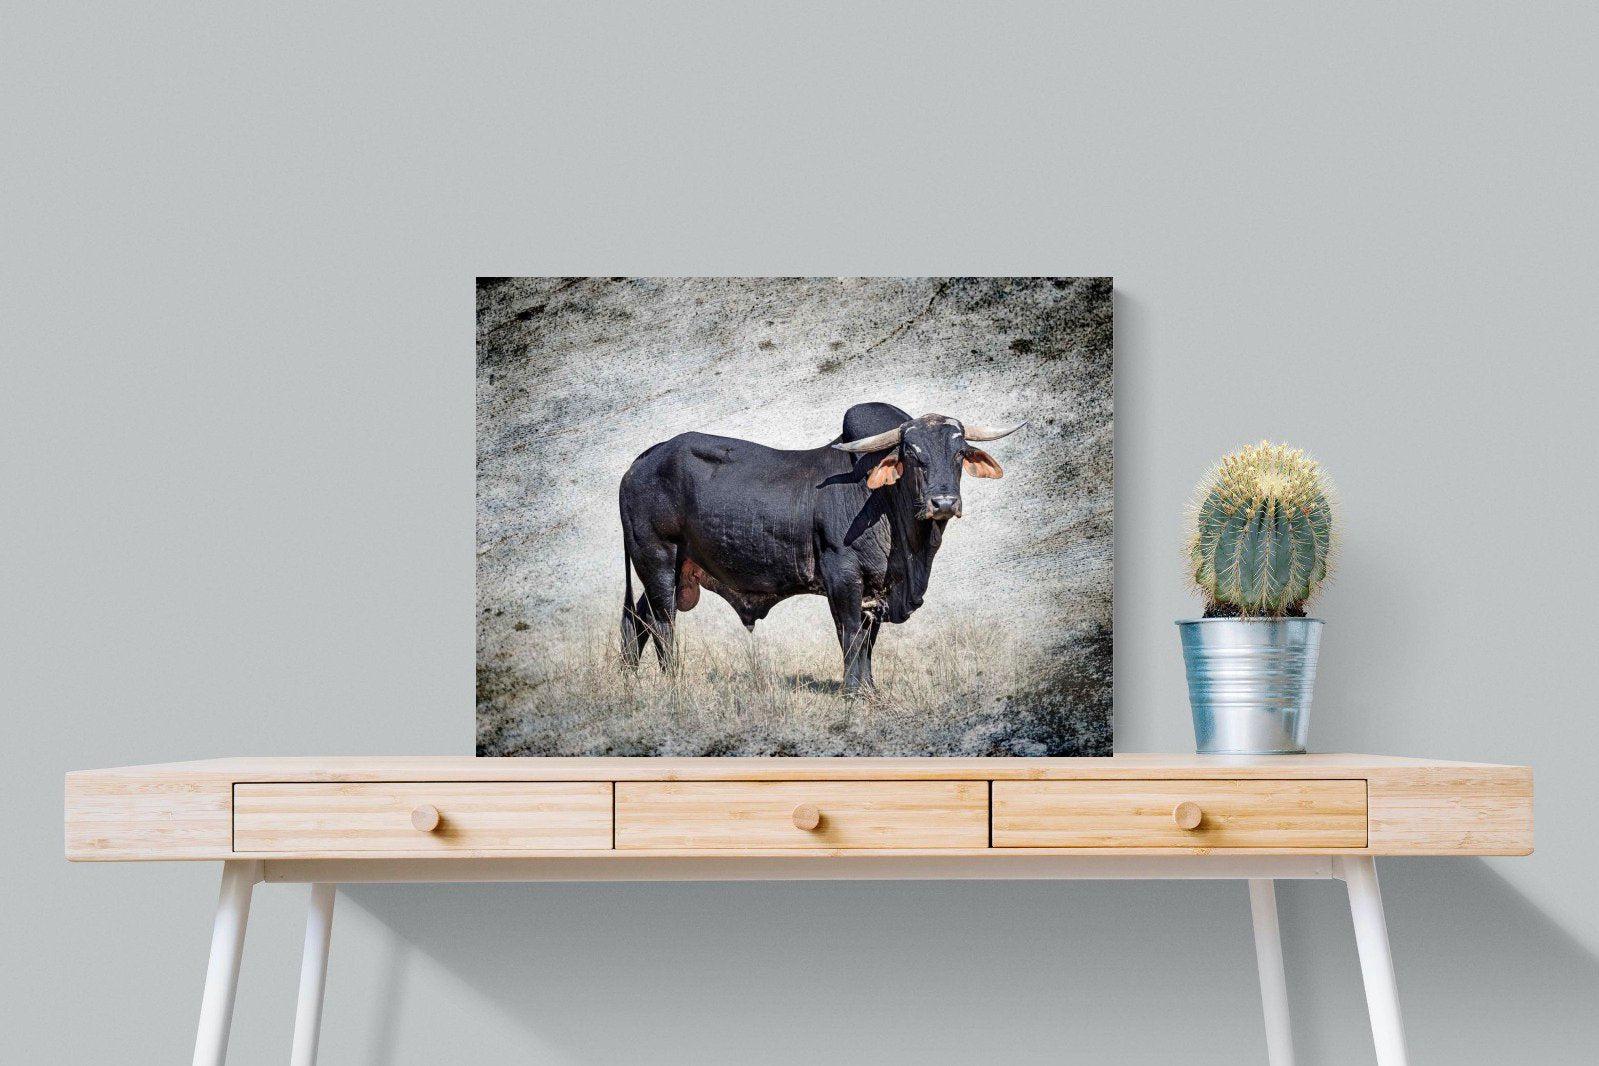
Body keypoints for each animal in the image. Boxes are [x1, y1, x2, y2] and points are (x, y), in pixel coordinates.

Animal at [618, 402, 1024, 694]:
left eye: (959, 453)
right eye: (912, 454)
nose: (943, 503)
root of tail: (643, 460)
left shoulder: (875, 590)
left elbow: (868, 640)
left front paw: (870, 689)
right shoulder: (842, 577)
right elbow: (851, 634)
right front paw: (854, 692)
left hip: (672, 571)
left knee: (636, 619)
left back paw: (629, 677)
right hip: (657, 560)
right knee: (661, 622)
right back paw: (672, 679)